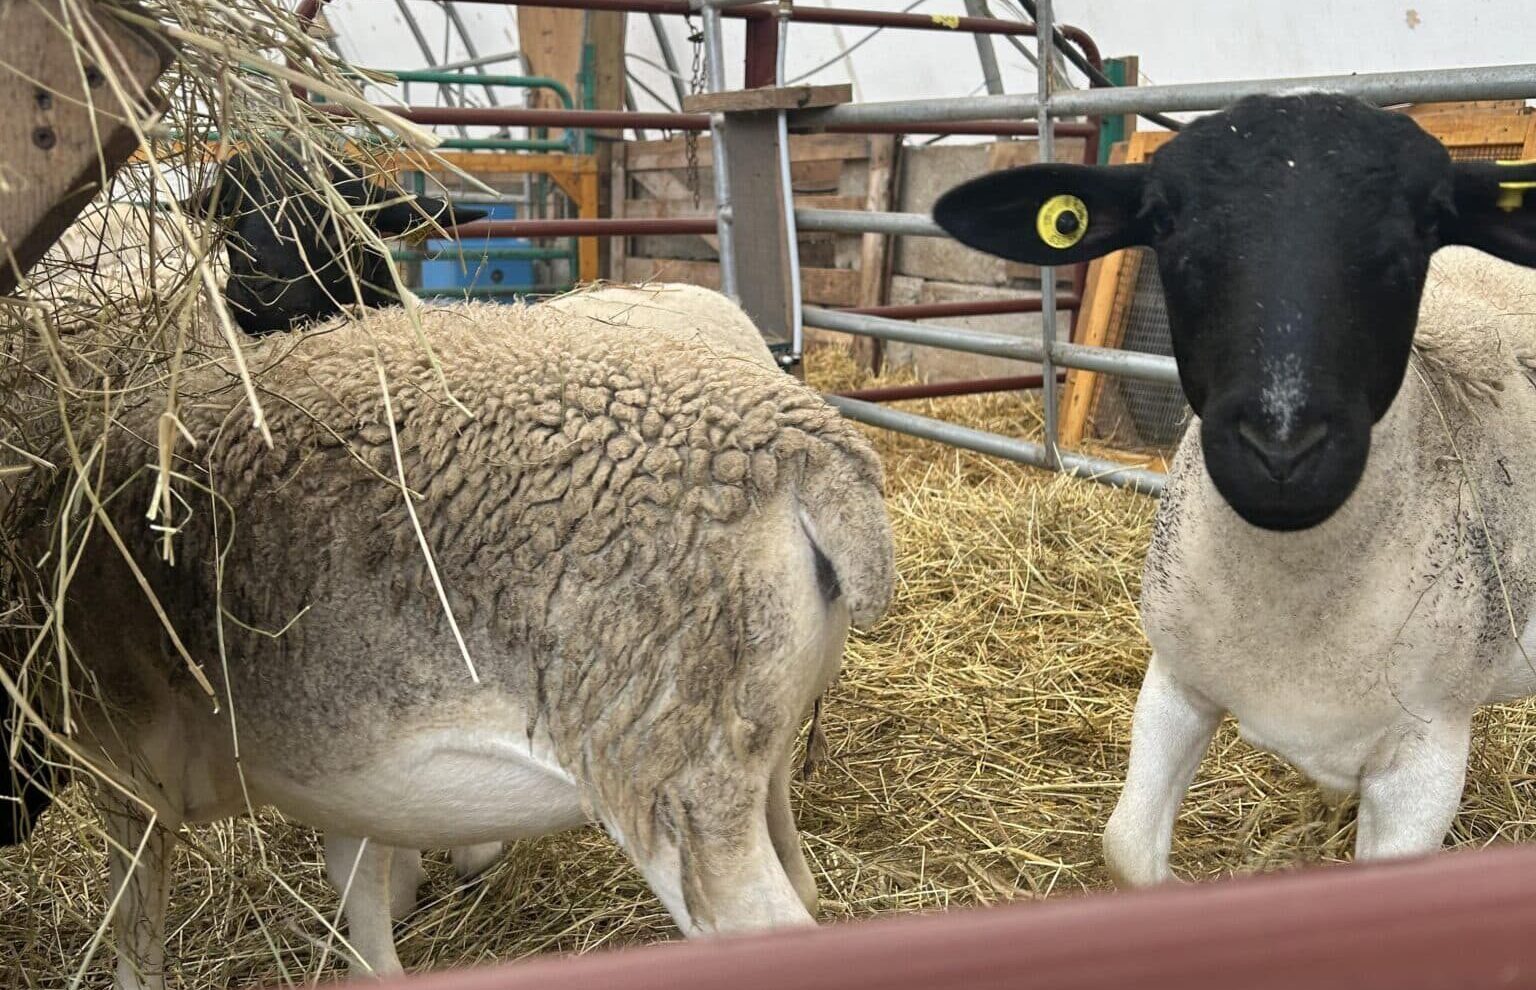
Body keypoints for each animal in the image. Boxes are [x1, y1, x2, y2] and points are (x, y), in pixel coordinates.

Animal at [927, 94, 1536, 877]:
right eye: (1163, 222)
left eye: (1428, 224)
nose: (1281, 449)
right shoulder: (1176, 683)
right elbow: (1126, 847)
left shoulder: (1425, 760)